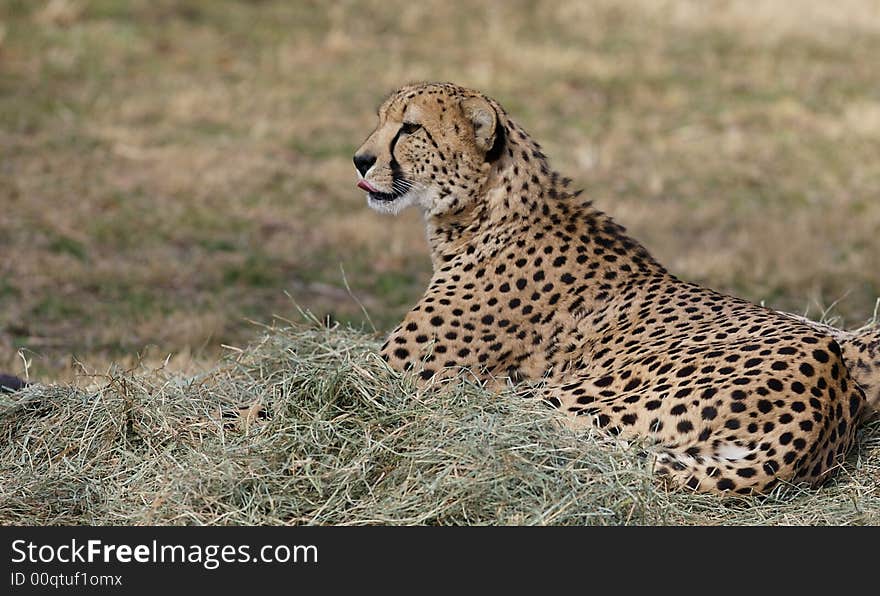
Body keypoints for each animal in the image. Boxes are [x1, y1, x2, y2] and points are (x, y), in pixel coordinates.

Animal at [354, 81, 880, 496]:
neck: (485, 208)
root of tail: (831, 394)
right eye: (380, 120)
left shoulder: (397, 373)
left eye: (410, 129)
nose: (359, 160)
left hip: (561, 398)